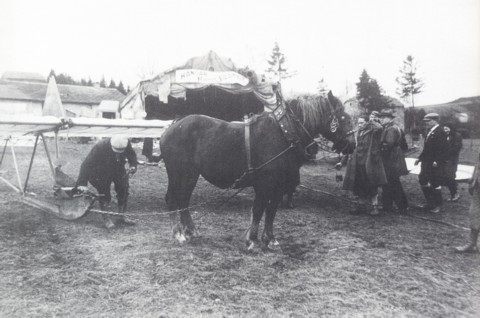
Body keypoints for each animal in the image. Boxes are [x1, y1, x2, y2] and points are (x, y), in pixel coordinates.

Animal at [160, 90, 352, 250]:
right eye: (343, 118)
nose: (352, 144)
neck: (283, 134)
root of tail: (172, 126)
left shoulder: (278, 185)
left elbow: (271, 210)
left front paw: (270, 239)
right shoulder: (264, 183)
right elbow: (259, 209)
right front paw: (252, 240)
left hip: (188, 175)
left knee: (183, 201)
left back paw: (190, 232)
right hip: (181, 174)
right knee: (174, 199)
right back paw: (178, 234)